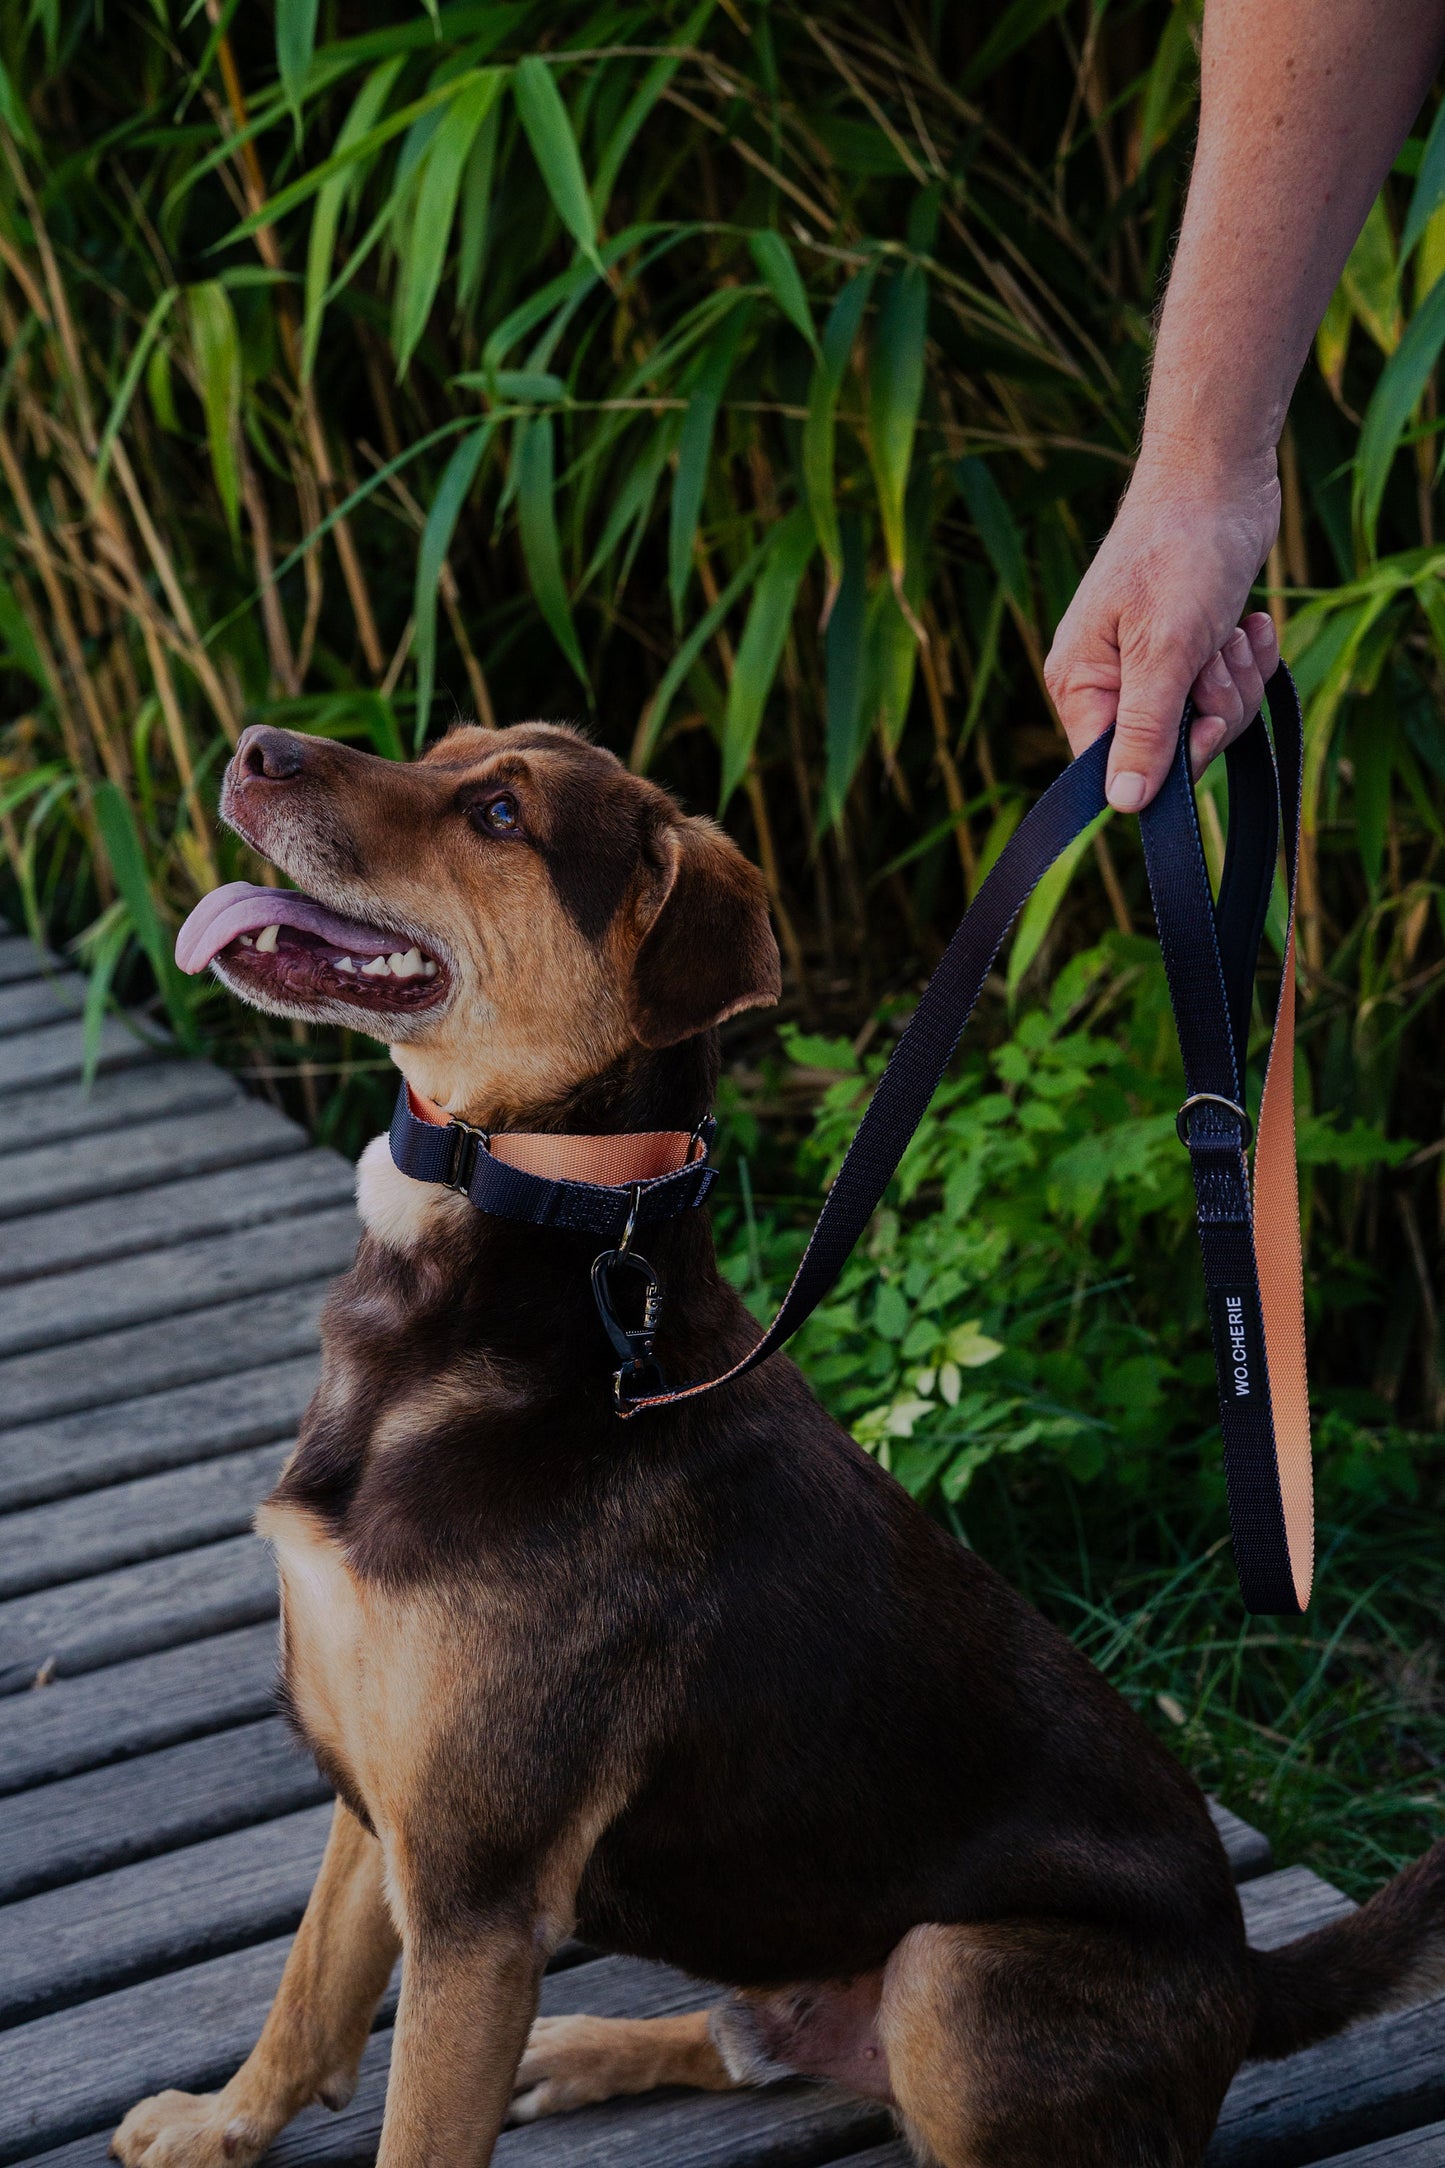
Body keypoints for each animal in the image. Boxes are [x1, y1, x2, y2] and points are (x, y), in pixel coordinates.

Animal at [115, 724, 1445, 2168]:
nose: (252, 746)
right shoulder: (378, 1802)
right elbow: (311, 1992)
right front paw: (221, 2124)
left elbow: (411, 2116)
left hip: (954, 1972)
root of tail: (1247, 1975)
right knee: (762, 2038)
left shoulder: (478, 1893)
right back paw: (586, 2047)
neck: (514, 1250)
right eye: (444, 745)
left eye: (499, 814)